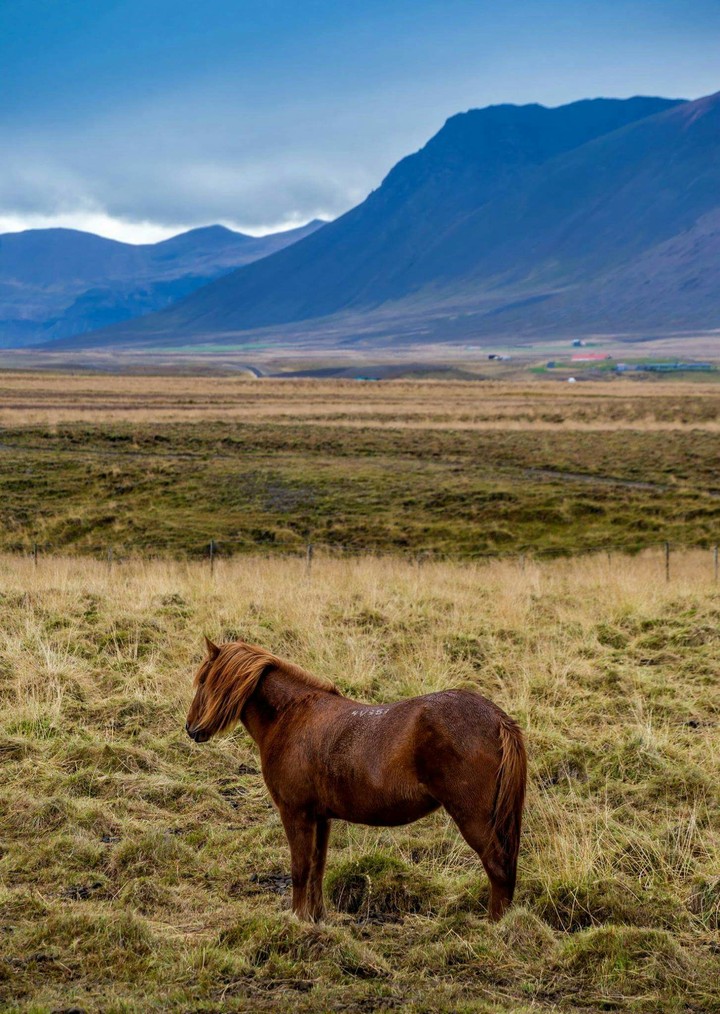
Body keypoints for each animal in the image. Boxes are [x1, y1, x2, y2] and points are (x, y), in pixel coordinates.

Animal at [186, 636, 526, 922]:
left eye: (203, 679)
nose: (191, 728)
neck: (292, 717)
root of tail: (498, 719)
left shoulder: (296, 813)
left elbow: (299, 868)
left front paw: (296, 919)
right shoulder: (320, 817)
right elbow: (316, 867)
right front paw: (315, 918)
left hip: (474, 818)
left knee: (498, 867)